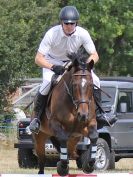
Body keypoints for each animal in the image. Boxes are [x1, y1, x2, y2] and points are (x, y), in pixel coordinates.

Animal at [32, 48, 98, 176]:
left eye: (91, 85)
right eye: (74, 85)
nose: (83, 115)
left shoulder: (89, 123)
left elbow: (94, 136)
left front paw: (89, 165)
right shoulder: (55, 123)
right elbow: (62, 138)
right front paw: (62, 167)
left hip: (75, 138)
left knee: (71, 150)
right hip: (40, 137)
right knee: (42, 160)